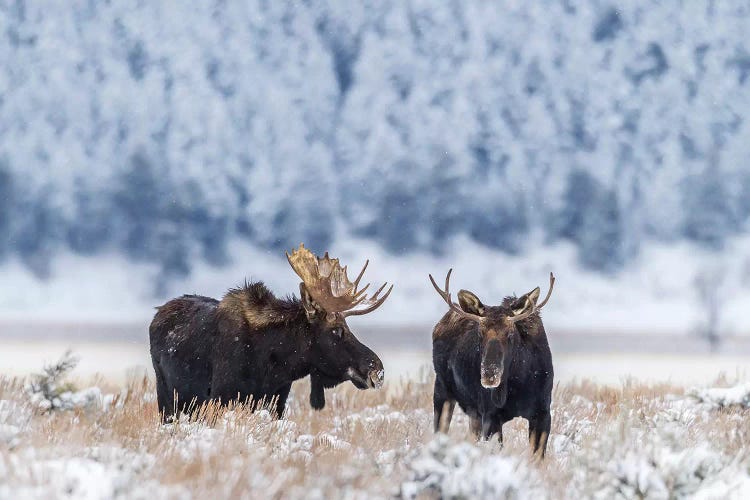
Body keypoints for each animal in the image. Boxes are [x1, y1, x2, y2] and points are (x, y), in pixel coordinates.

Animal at [148, 244, 394, 420]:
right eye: (337, 330)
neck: (273, 363)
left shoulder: (278, 400)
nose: (377, 370)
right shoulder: (222, 396)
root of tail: (157, 313)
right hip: (167, 397)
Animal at [428, 270, 560, 458]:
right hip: (442, 389)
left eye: (511, 334)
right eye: (480, 333)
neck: (519, 384)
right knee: (440, 430)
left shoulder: (542, 413)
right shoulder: (490, 415)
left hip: (472, 412)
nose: (490, 375)